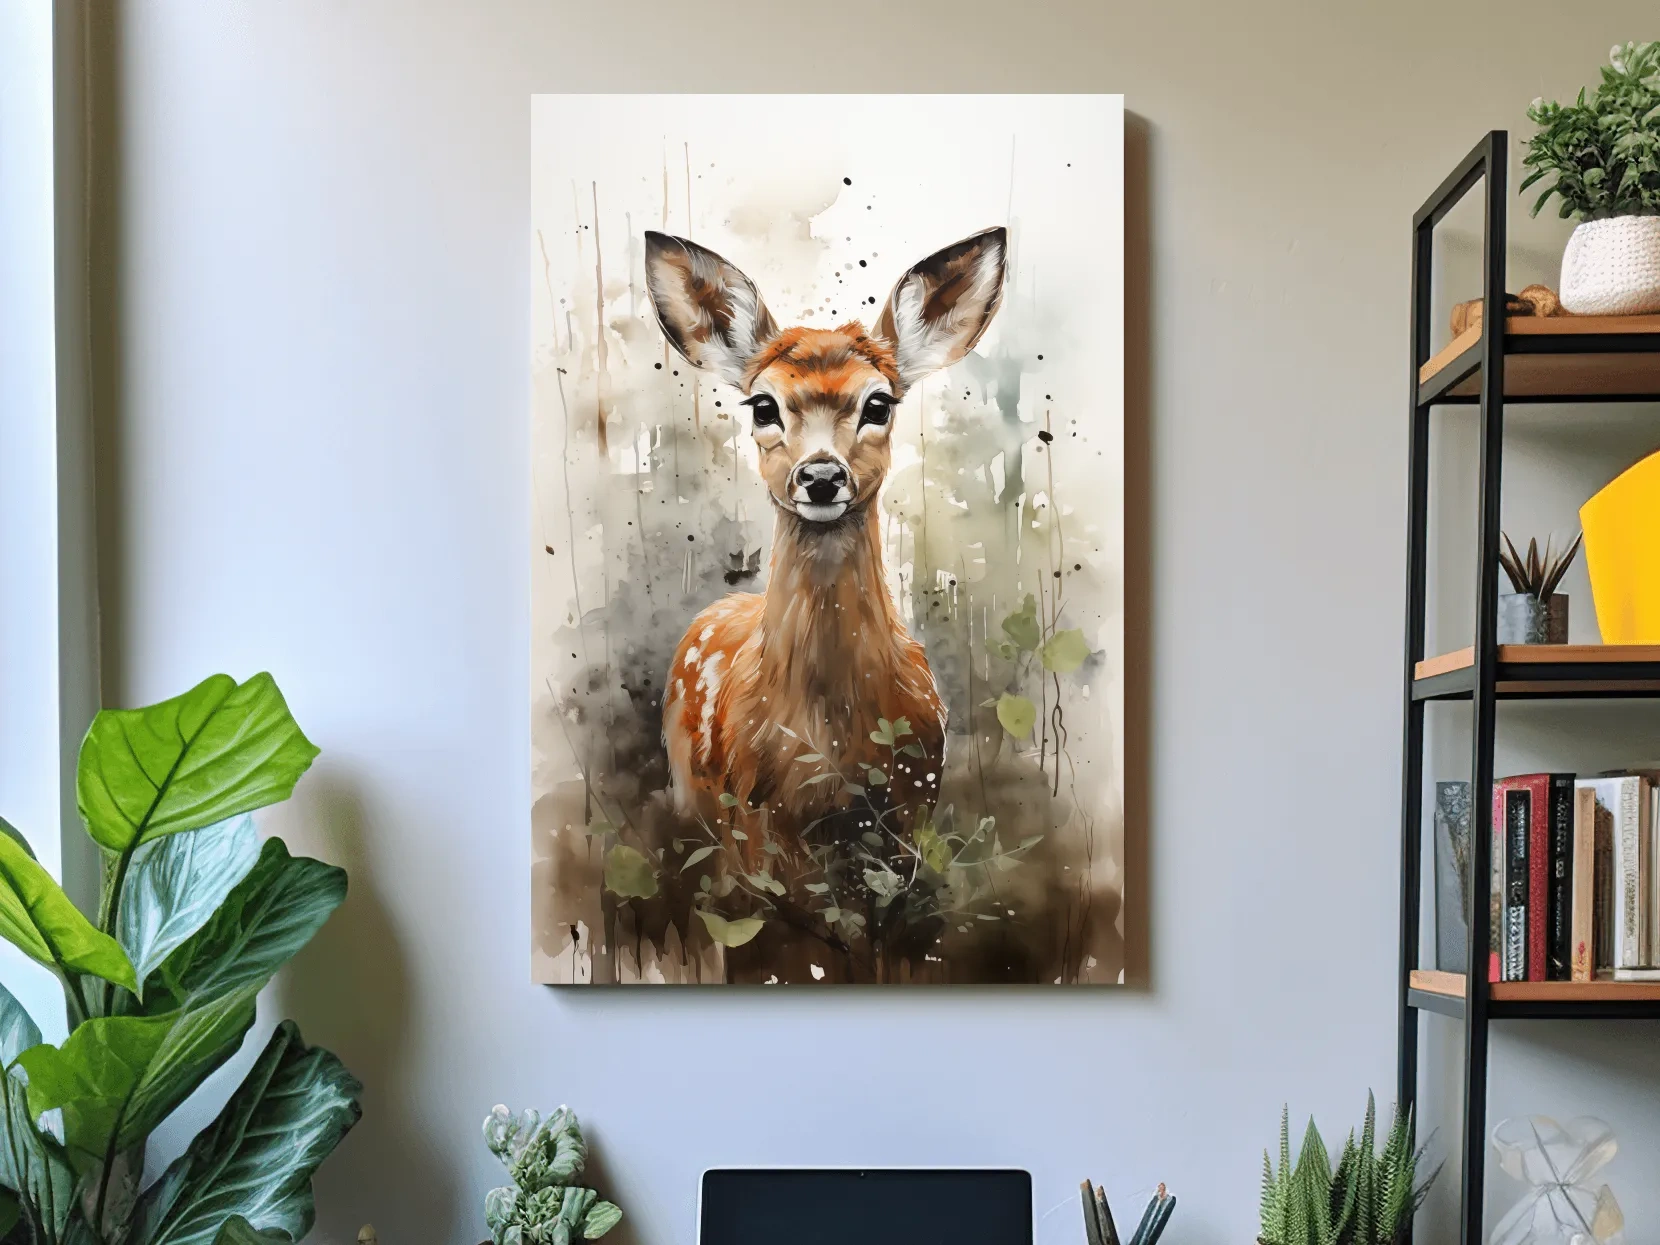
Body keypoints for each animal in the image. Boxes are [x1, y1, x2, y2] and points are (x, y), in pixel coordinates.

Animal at [644, 225, 1007, 866]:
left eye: (878, 403)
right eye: (763, 405)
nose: (820, 476)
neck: (830, 745)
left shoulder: (913, 806)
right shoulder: (753, 820)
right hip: (691, 790)